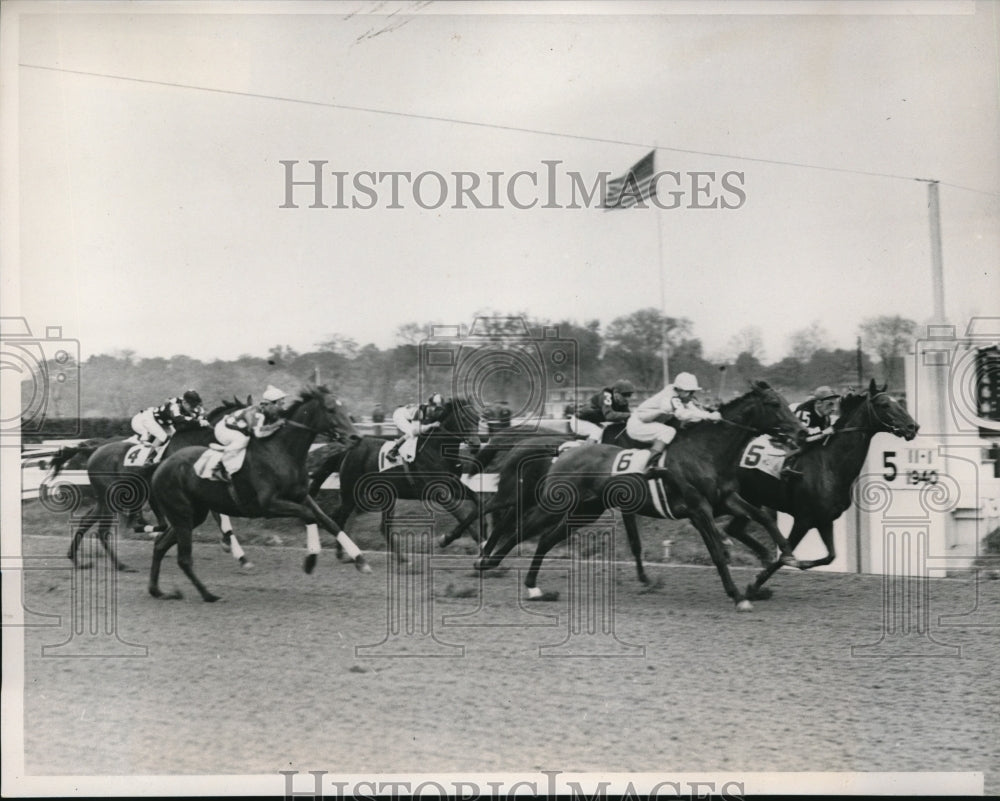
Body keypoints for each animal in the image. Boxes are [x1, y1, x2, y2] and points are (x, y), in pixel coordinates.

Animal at [148, 386, 364, 600]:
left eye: (344, 407)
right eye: (330, 409)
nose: (356, 437)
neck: (281, 452)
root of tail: (161, 465)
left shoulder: (301, 496)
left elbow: (327, 520)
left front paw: (360, 559)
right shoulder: (269, 504)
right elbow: (309, 515)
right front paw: (310, 559)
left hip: (193, 514)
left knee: (161, 545)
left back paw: (158, 590)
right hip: (182, 513)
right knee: (183, 557)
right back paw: (208, 594)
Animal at [312, 398, 484, 564]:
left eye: (477, 419)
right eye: (463, 418)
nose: (476, 445)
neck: (436, 449)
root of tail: (349, 450)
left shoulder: (453, 485)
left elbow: (477, 500)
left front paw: (483, 538)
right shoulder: (438, 492)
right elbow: (460, 514)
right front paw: (452, 540)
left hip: (383, 496)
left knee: (380, 526)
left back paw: (401, 558)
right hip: (352, 494)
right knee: (339, 517)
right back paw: (343, 553)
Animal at [472, 382, 808, 612]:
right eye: (774, 403)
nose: (802, 431)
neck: (705, 450)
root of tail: (564, 453)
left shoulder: (725, 499)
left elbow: (762, 516)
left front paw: (788, 555)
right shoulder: (698, 509)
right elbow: (716, 551)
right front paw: (739, 595)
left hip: (585, 511)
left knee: (543, 538)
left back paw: (532, 587)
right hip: (556, 504)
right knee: (520, 526)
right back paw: (488, 562)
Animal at [724, 380, 916, 592]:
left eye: (897, 402)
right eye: (884, 405)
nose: (913, 427)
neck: (829, 464)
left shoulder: (825, 519)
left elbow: (830, 557)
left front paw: (798, 565)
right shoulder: (803, 519)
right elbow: (785, 555)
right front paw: (756, 583)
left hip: (752, 499)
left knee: (733, 529)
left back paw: (761, 554)